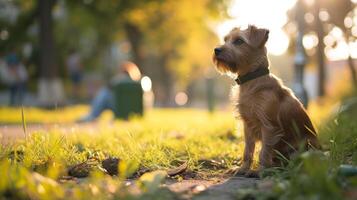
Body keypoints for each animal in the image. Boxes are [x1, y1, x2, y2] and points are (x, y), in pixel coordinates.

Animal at [213, 25, 318, 177]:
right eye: (226, 40)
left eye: (239, 41)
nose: (216, 50)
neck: (251, 80)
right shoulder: (248, 126)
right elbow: (248, 150)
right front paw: (242, 169)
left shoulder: (269, 127)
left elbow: (264, 152)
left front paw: (260, 171)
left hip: (300, 148)